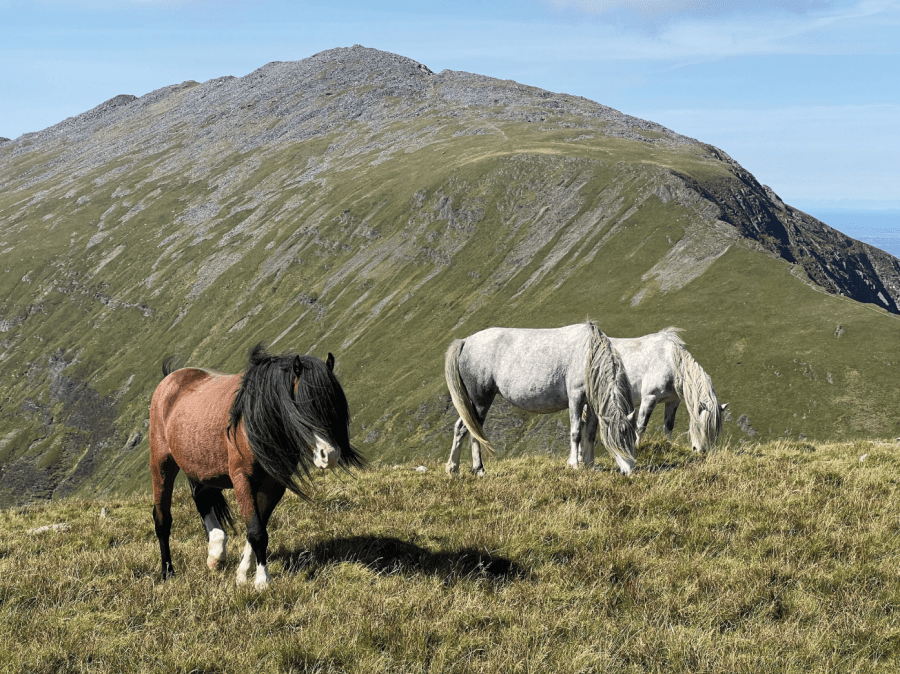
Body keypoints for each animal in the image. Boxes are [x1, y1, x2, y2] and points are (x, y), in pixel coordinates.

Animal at [149, 343, 364, 589]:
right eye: (303, 405)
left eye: (334, 404)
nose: (329, 455)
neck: (255, 421)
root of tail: (170, 379)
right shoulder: (242, 479)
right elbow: (257, 532)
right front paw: (262, 581)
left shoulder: (273, 486)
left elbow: (257, 530)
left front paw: (242, 574)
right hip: (162, 463)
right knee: (162, 519)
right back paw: (168, 572)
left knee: (201, 496)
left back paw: (216, 551)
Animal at [444, 321, 637, 476]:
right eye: (618, 441)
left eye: (632, 440)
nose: (630, 471)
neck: (587, 353)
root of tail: (465, 342)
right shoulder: (575, 397)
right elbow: (575, 432)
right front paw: (574, 464)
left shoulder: (591, 403)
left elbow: (589, 433)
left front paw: (589, 465)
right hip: (480, 401)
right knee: (470, 429)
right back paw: (476, 469)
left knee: (466, 429)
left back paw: (457, 469)